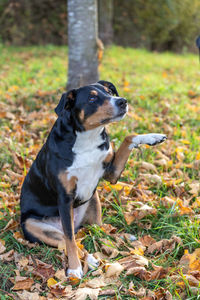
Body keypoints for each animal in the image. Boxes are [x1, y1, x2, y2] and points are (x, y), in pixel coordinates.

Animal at [20, 81, 167, 278]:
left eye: (109, 92)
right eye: (91, 98)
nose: (122, 101)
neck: (87, 138)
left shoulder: (111, 173)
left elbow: (128, 138)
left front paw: (152, 137)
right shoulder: (64, 198)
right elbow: (70, 240)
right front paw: (74, 268)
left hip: (93, 202)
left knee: (99, 229)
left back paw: (119, 237)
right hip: (34, 225)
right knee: (69, 239)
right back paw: (88, 258)